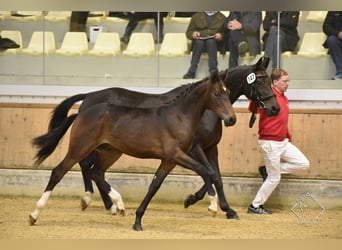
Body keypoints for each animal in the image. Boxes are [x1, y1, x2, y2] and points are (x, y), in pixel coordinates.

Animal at [34, 56, 280, 221]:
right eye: (260, 82)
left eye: (270, 81)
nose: (275, 108)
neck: (202, 111)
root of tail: (89, 97)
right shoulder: (196, 149)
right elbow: (211, 175)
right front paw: (199, 202)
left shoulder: (211, 148)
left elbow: (216, 176)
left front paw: (225, 208)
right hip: (93, 145)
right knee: (85, 166)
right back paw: (102, 203)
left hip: (106, 148)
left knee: (91, 168)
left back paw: (107, 204)